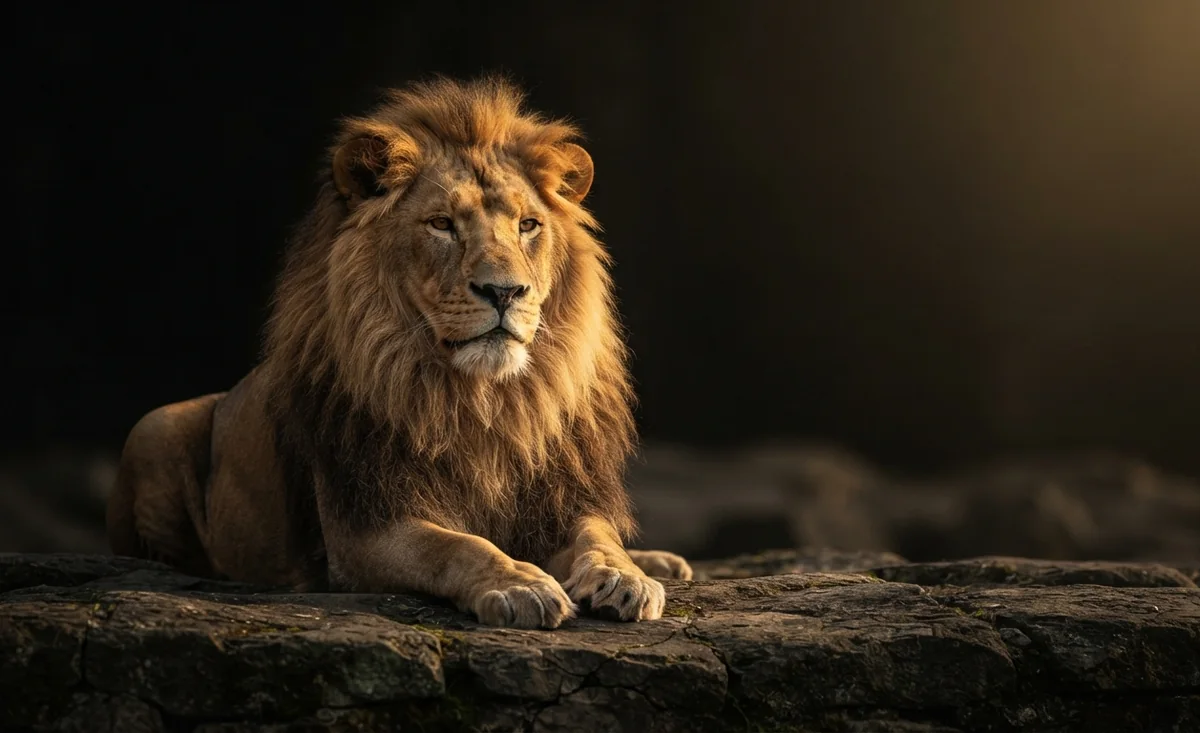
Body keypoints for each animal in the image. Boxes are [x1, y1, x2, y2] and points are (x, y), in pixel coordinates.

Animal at [105, 75, 691, 629]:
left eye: (528, 225)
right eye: (442, 224)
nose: (505, 292)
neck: (484, 402)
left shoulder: (562, 498)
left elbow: (599, 537)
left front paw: (623, 575)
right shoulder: (363, 527)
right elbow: (457, 545)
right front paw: (519, 584)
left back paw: (662, 562)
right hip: (154, 426)